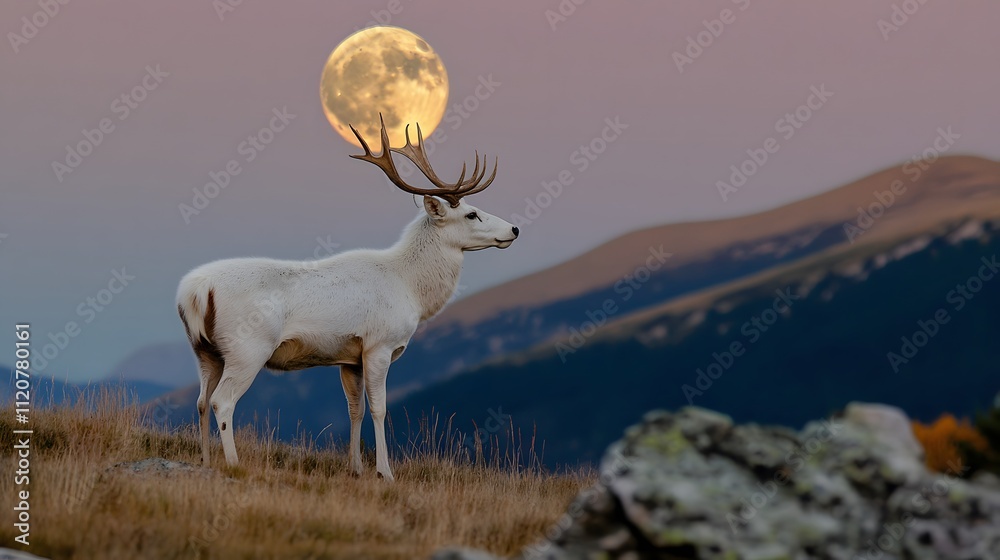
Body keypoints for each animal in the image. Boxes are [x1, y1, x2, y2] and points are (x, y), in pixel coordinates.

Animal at [176, 116, 518, 481]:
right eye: (471, 214)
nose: (514, 229)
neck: (410, 289)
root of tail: (194, 293)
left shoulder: (349, 357)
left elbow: (355, 409)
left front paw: (355, 468)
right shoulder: (379, 344)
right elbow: (379, 409)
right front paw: (385, 472)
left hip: (205, 351)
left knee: (201, 400)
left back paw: (206, 460)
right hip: (248, 347)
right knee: (222, 401)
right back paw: (233, 463)